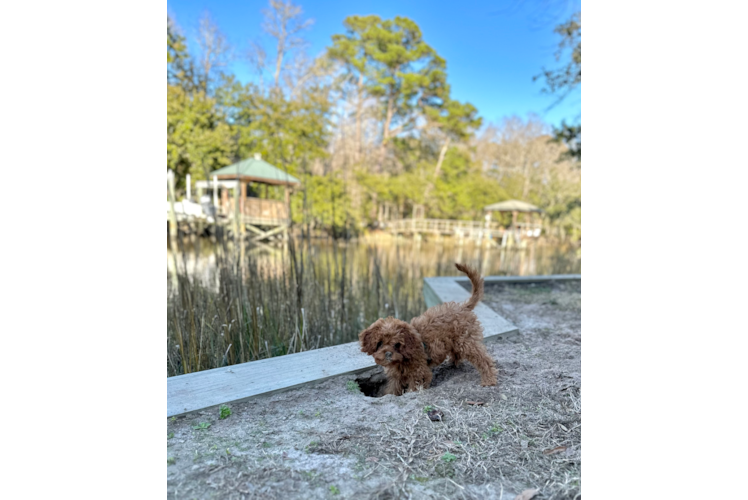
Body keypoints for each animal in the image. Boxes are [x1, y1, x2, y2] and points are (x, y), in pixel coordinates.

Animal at [358, 264, 496, 396]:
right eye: (379, 343)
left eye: (397, 344)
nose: (387, 354)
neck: (404, 355)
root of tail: (463, 307)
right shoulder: (396, 376)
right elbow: (393, 388)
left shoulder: (419, 373)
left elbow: (414, 387)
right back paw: (453, 362)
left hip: (467, 341)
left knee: (484, 359)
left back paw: (489, 379)